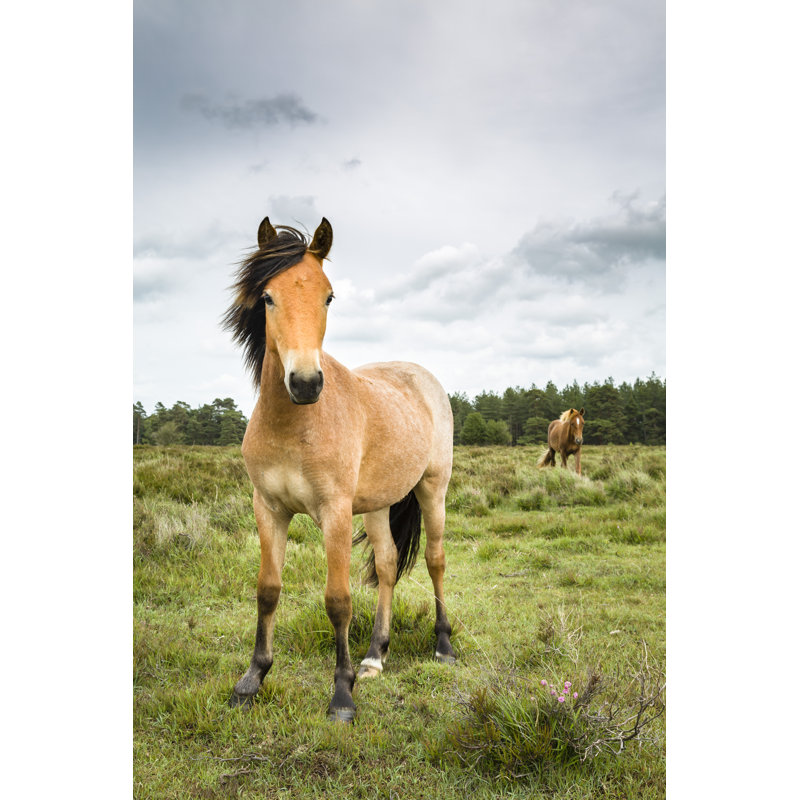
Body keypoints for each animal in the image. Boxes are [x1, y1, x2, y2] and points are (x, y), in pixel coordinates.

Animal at [222, 216, 456, 723]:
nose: (306, 383)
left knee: (435, 560)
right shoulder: (268, 509)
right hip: (378, 504)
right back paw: (375, 656)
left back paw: (444, 646)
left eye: (328, 296)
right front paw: (251, 681)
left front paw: (342, 696)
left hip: (433, 490)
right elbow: (267, 589)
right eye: (267, 297)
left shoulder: (334, 512)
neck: (294, 425)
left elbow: (338, 601)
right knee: (387, 566)